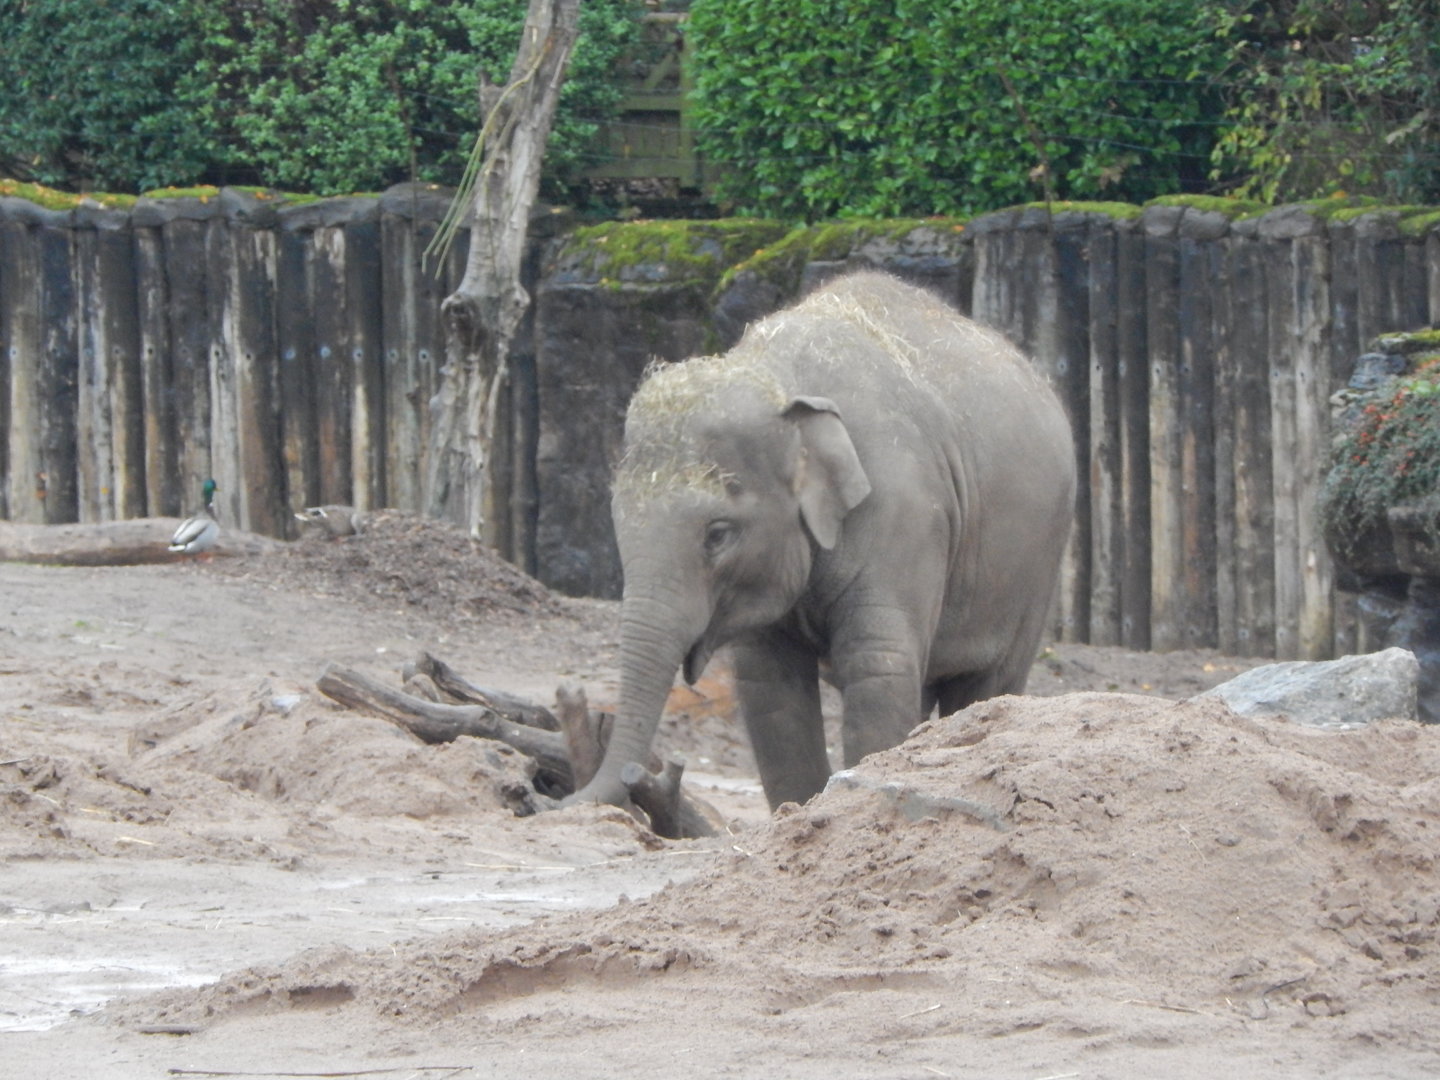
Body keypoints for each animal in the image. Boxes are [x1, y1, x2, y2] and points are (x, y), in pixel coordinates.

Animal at [567, 271, 1076, 812]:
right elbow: (770, 687)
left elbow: (878, 666)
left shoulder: (903, 512)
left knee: (988, 682)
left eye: (718, 534)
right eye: (618, 522)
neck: (779, 379)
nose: (629, 774)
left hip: (1038, 565)